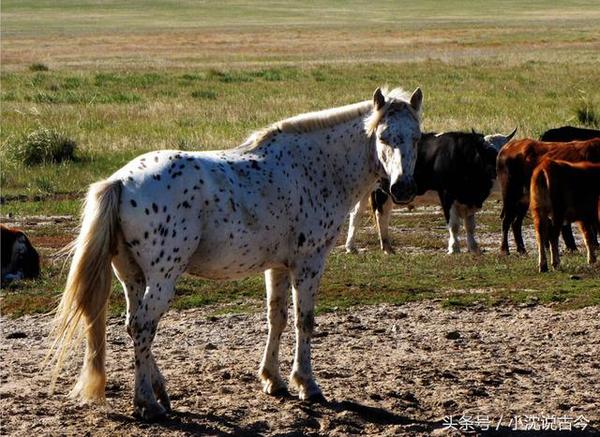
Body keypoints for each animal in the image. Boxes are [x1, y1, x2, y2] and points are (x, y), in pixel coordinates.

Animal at [49, 86, 424, 418]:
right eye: (384, 137)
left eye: (417, 137)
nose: (402, 188)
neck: (314, 167)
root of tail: (121, 182)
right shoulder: (309, 262)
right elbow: (304, 321)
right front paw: (307, 384)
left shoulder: (278, 266)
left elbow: (277, 318)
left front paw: (273, 380)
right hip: (162, 278)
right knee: (143, 326)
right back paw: (147, 403)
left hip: (133, 278)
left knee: (133, 326)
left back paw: (160, 391)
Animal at [346, 127, 516, 254]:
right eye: (490, 154)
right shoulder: (447, 195)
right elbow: (454, 224)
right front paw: (454, 248)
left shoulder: (468, 200)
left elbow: (470, 225)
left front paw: (474, 248)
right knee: (376, 215)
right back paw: (377, 247)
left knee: (364, 214)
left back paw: (363, 247)